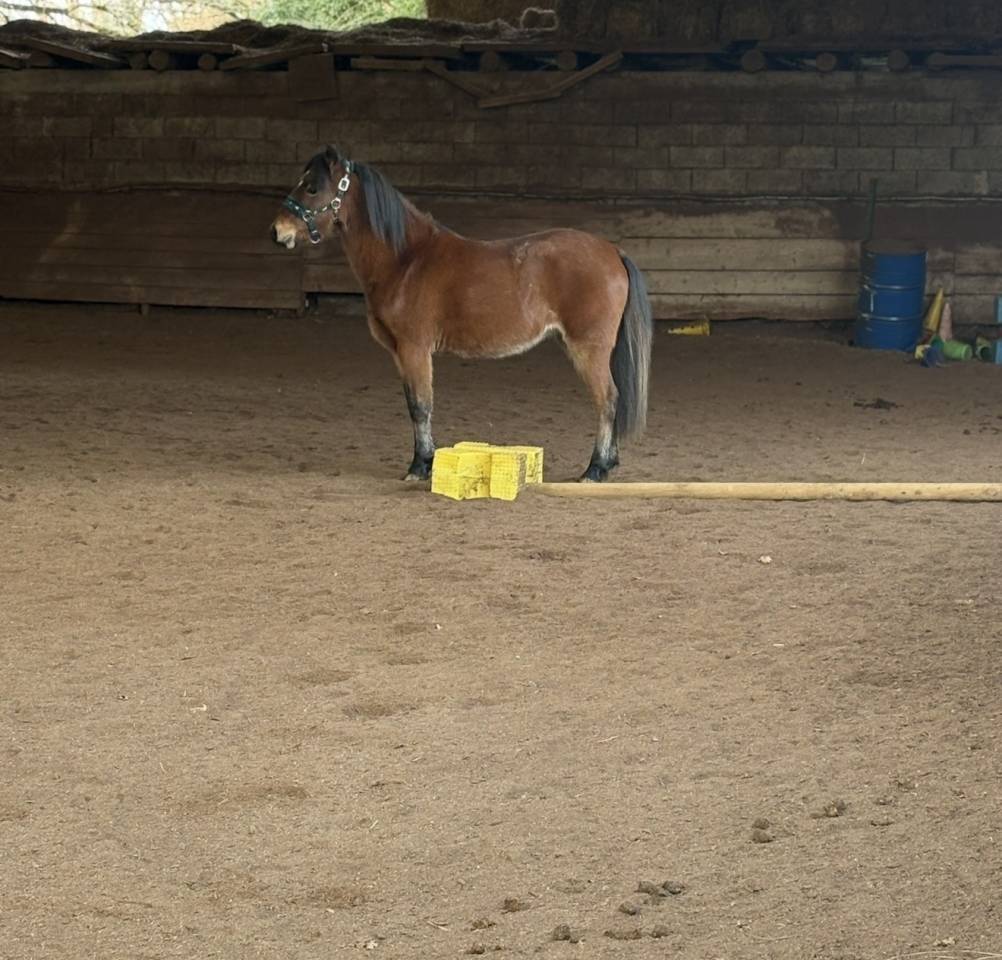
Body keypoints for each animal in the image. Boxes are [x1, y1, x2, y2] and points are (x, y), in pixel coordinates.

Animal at [271, 145, 653, 483]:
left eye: (312, 186)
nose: (278, 231)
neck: (406, 259)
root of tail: (612, 251)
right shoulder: (400, 353)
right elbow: (413, 403)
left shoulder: (414, 349)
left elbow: (420, 406)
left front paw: (419, 466)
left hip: (588, 348)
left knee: (607, 400)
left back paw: (595, 469)